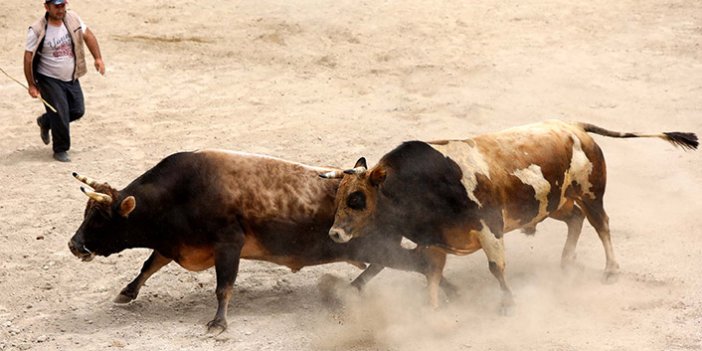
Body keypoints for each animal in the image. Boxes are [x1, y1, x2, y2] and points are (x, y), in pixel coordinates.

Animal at [70, 150, 456, 334]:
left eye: (100, 218)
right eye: (87, 213)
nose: (75, 245)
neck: (179, 194)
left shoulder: (228, 244)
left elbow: (223, 286)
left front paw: (218, 323)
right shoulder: (175, 242)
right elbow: (149, 264)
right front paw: (127, 292)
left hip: (378, 245)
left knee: (423, 263)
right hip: (377, 248)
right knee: (399, 264)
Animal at [324, 120, 700, 314]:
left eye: (357, 199)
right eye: (339, 197)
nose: (335, 234)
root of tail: (574, 125)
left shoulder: (490, 228)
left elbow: (496, 267)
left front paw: (507, 303)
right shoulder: (434, 239)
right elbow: (429, 273)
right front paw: (433, 312)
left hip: (592, 193)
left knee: (601, 224)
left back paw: (610, 270)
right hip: (556, 203)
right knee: (575, 220)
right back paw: (566, 263)